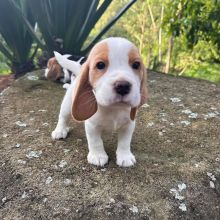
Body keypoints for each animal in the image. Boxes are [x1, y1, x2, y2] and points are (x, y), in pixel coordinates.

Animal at [51, 37, 148, 167]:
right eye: (100, 65)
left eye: (136, 64)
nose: (123, 86)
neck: (114, 108)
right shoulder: (91, 125)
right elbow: (96, 141)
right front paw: (98, 156)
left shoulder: (129, 124)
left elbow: (125, 142)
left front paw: (125, 156)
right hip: (67, 105)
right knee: (63, 117)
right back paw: (60, 130)